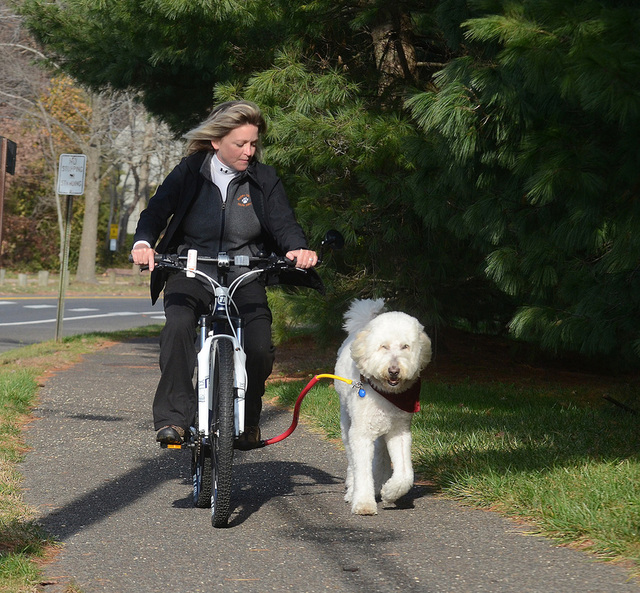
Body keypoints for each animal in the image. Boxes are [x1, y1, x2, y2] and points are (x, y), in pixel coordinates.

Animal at [336, 298, 430, 516]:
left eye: (405, 346)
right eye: (383, 347)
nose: (394, 371)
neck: (388, 394)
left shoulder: (400, 432)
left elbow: (405, 473)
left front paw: (391, 491)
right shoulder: (361, 434)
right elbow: (362, 470)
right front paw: (363, 503)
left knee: (380, 456)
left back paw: (380, 483)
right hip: (347, 424)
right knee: (353, 463)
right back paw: (352, 489)